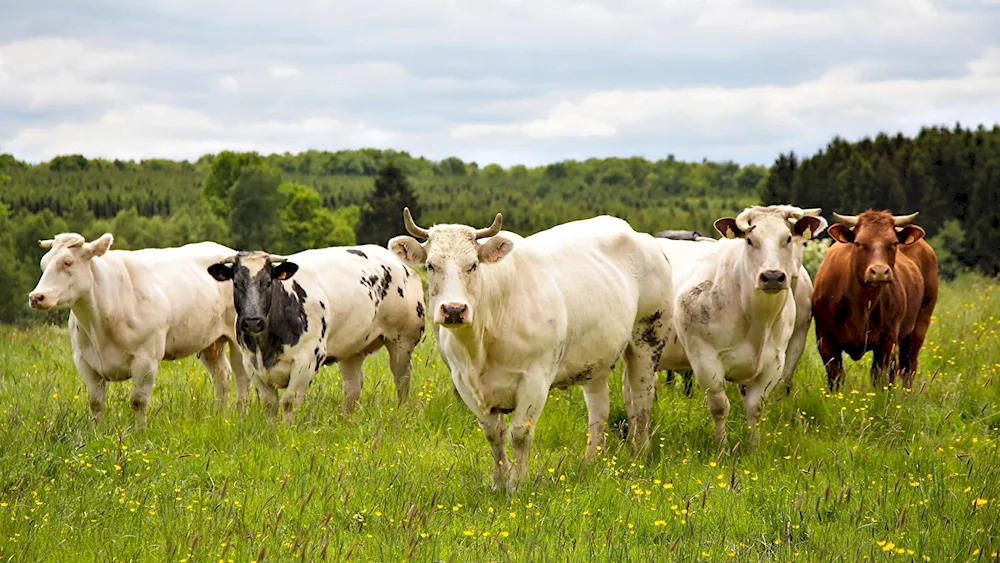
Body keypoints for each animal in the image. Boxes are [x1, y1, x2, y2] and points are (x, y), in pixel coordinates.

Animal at [28, 231, 250, 426]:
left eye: (67, 262)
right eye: (43, 264)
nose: (36, 297)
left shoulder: (147, 359)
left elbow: (138, 401)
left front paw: (139, 432)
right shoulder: (83, 360)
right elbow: (95, 402)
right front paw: (95, 432)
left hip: (239, 339)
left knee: (242, 377)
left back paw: (240, 415)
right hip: (209, 341)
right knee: (222, 375)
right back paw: (219, 415)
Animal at [207, 245, 426, 420]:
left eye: (268, 282)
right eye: (236, 283)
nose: (253, 321)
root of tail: (400, 264)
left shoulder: (308, 360)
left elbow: (289, 402)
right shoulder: (251, 364)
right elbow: (270, 405)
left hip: (402, 342)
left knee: (402, 380)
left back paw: (401, 412)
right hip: (351, 350)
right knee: (353, 388)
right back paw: (344, 421)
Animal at [386, 209, 676, 492]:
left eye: (473, 265)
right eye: (430, 265)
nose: (455, 310)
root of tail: (641, 237)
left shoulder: (535, 378)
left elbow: (519, 434)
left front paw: (516, 484)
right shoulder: (464, 382)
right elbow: (493, 434)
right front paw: (499, 483)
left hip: (647, 337)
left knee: (640, 398)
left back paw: (639, 454)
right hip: (597, 356)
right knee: (599, 407)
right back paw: (591, 460)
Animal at [652, 207, 824, 446]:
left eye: (788, 238)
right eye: (750, 240)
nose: (772, 276)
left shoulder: (775, 362)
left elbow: (755, 406)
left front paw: (753, 447)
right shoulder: (705, 360)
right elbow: (719, 407)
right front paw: (721, 446)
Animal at [808, 209, 940, 390]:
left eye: (894, 243)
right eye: (858, 243)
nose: (879, 271)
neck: (861, 304)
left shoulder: (887, 339)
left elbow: (878, 376)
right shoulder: (825, 339)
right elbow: (836, 377)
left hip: (919, 325)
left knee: (908, 366)